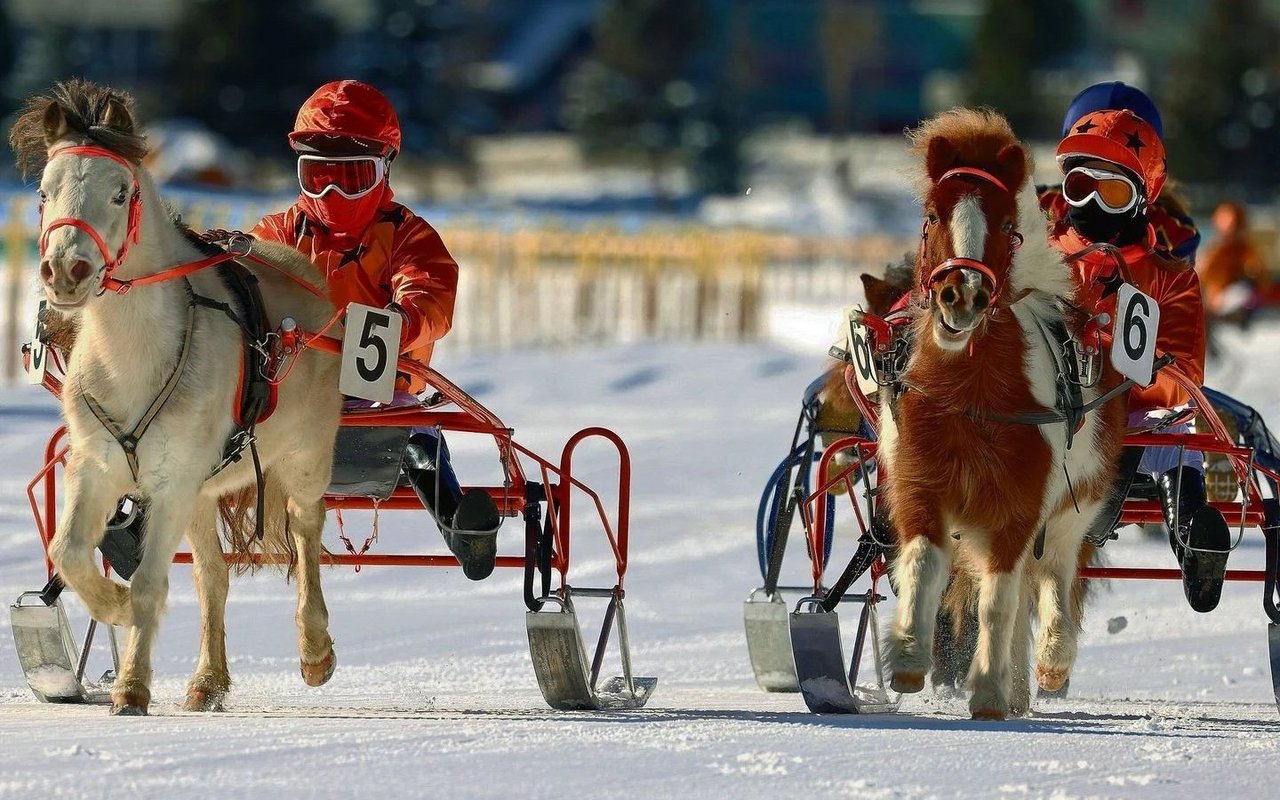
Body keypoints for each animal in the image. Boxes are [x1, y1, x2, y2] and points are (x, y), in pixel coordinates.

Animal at [8, 81, 345, 716]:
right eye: (43, 191)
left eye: (121, 192)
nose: (66, 270)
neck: (133, 357)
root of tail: (308, 275)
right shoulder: (97, 466)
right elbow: (70, 552)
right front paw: (111, 607)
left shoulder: (172, 479)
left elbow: (148, 583)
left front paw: (131, 687)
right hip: (201, 492)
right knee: (213, 576)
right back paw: (207, 680)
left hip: (305, 455)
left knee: (306, 532)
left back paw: (315, 650)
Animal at [875, 107, 1126, 716]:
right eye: (932, 214)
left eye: (1008, 222)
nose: (961, 296)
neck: (971, 399)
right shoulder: (921, 487)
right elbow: (923, 565)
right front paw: (911, 658)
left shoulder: (1017, 508)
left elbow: (999, 602)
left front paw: (988, 690)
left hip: (1072, 510)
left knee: (1053, 576)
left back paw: (1049, 663)